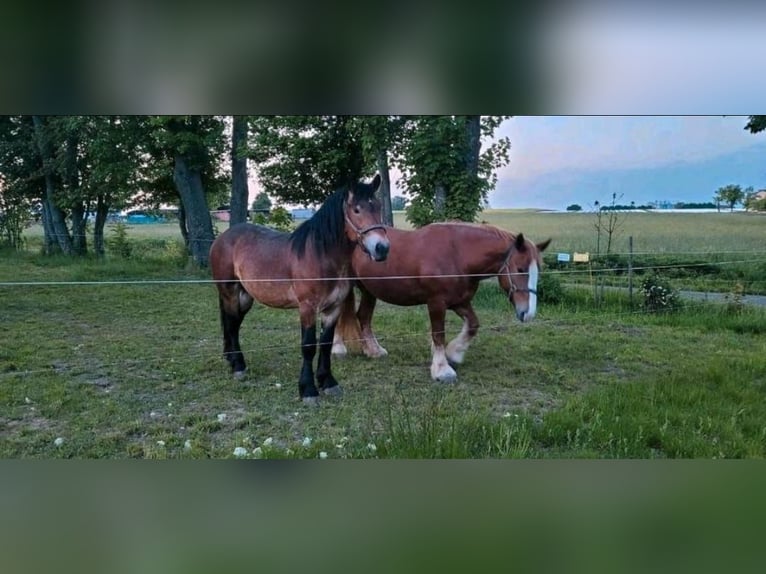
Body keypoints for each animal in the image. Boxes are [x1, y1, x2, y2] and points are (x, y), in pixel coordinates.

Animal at [210, 176, 390, 404]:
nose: (382, 248)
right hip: (230, 292)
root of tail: (222, 238)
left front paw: (328, 383)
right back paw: (238, 367)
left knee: (232, 324)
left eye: (378, 207)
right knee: (232, 326)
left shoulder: (333, 308)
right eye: (356, 210)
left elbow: (325, 344)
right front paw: (308, 390)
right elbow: (308, 346)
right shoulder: (307, 308)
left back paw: (231, 359)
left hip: (245, 296)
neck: (320, 255)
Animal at [332, 223, 548, 384]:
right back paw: (338, 348)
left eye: (538, 270)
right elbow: (438, 333)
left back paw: (373, 350)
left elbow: (473, 325)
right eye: (520, 269)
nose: (528, 313)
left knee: (363, 316)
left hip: (369, 290)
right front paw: (442, 369)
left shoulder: (459, 302)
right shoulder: (436, 302)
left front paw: (454, 353)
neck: (457, 254)